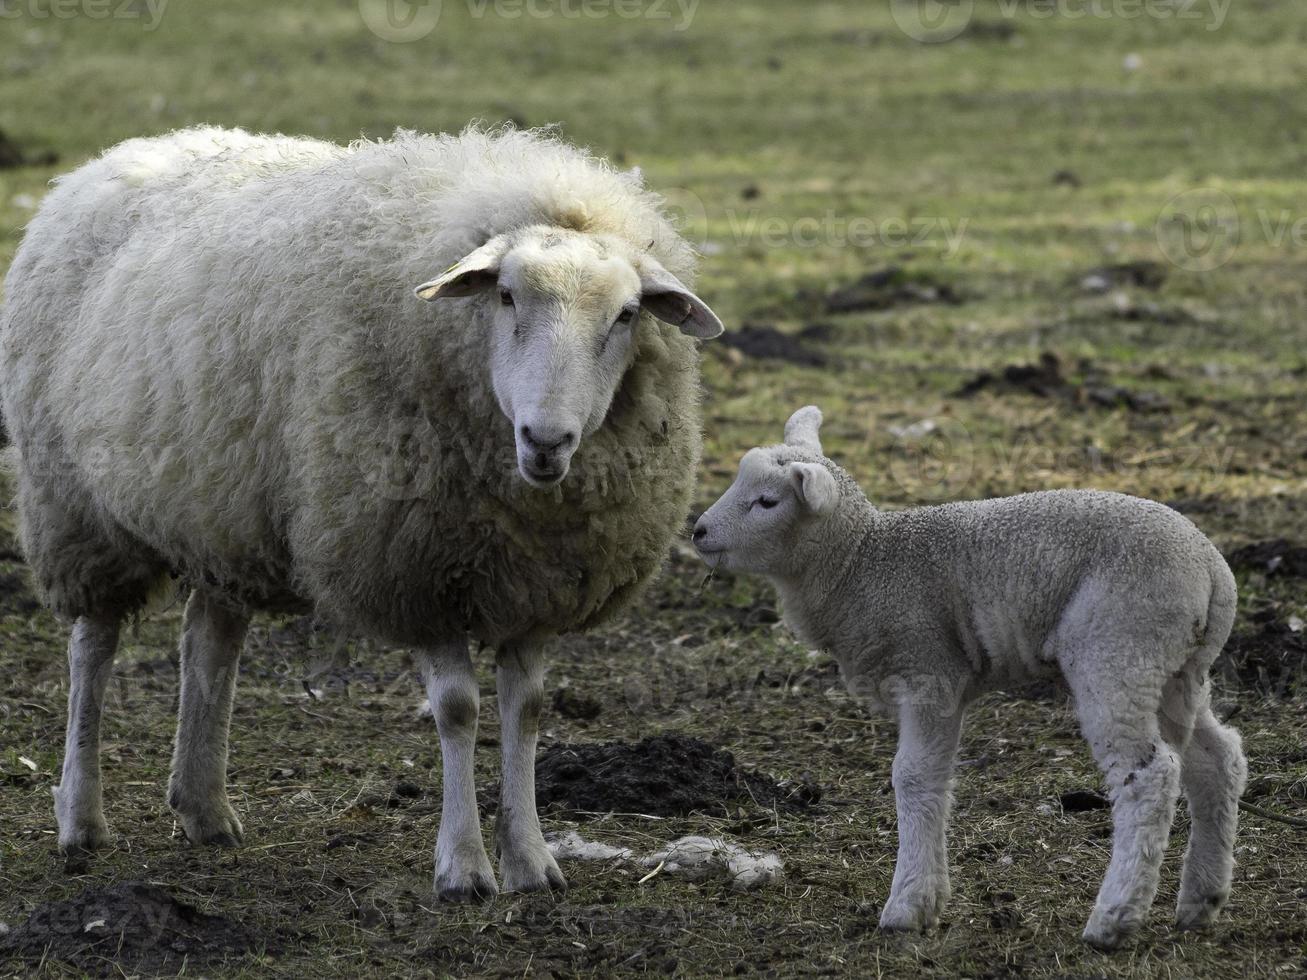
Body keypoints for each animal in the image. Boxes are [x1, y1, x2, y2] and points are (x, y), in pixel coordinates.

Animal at [0, 124, 726, 904]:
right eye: (504, 296)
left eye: (626, 315)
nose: (546, 440)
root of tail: (121, 154)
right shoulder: (414, 569)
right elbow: (459, 709)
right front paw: (463, 867)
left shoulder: (534, 583)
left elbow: (526, 709)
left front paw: (531, 860)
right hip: (74, 507)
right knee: (93, 647)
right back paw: (80, 819)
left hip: (223, 512)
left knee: (209, 642)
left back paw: (204, 808)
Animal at [695, 405, 1244, 951]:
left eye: (767, 501)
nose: (698, 531)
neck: (860, 563)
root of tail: (1212, 571)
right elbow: (937, 777)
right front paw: (930, 898)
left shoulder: (928, 670)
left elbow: (914, 776)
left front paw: (907, 906)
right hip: (1176, 671)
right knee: (1217, 760)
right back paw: (1201, 899)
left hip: (1119, 651)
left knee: (1149, 776)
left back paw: (1114, 917)